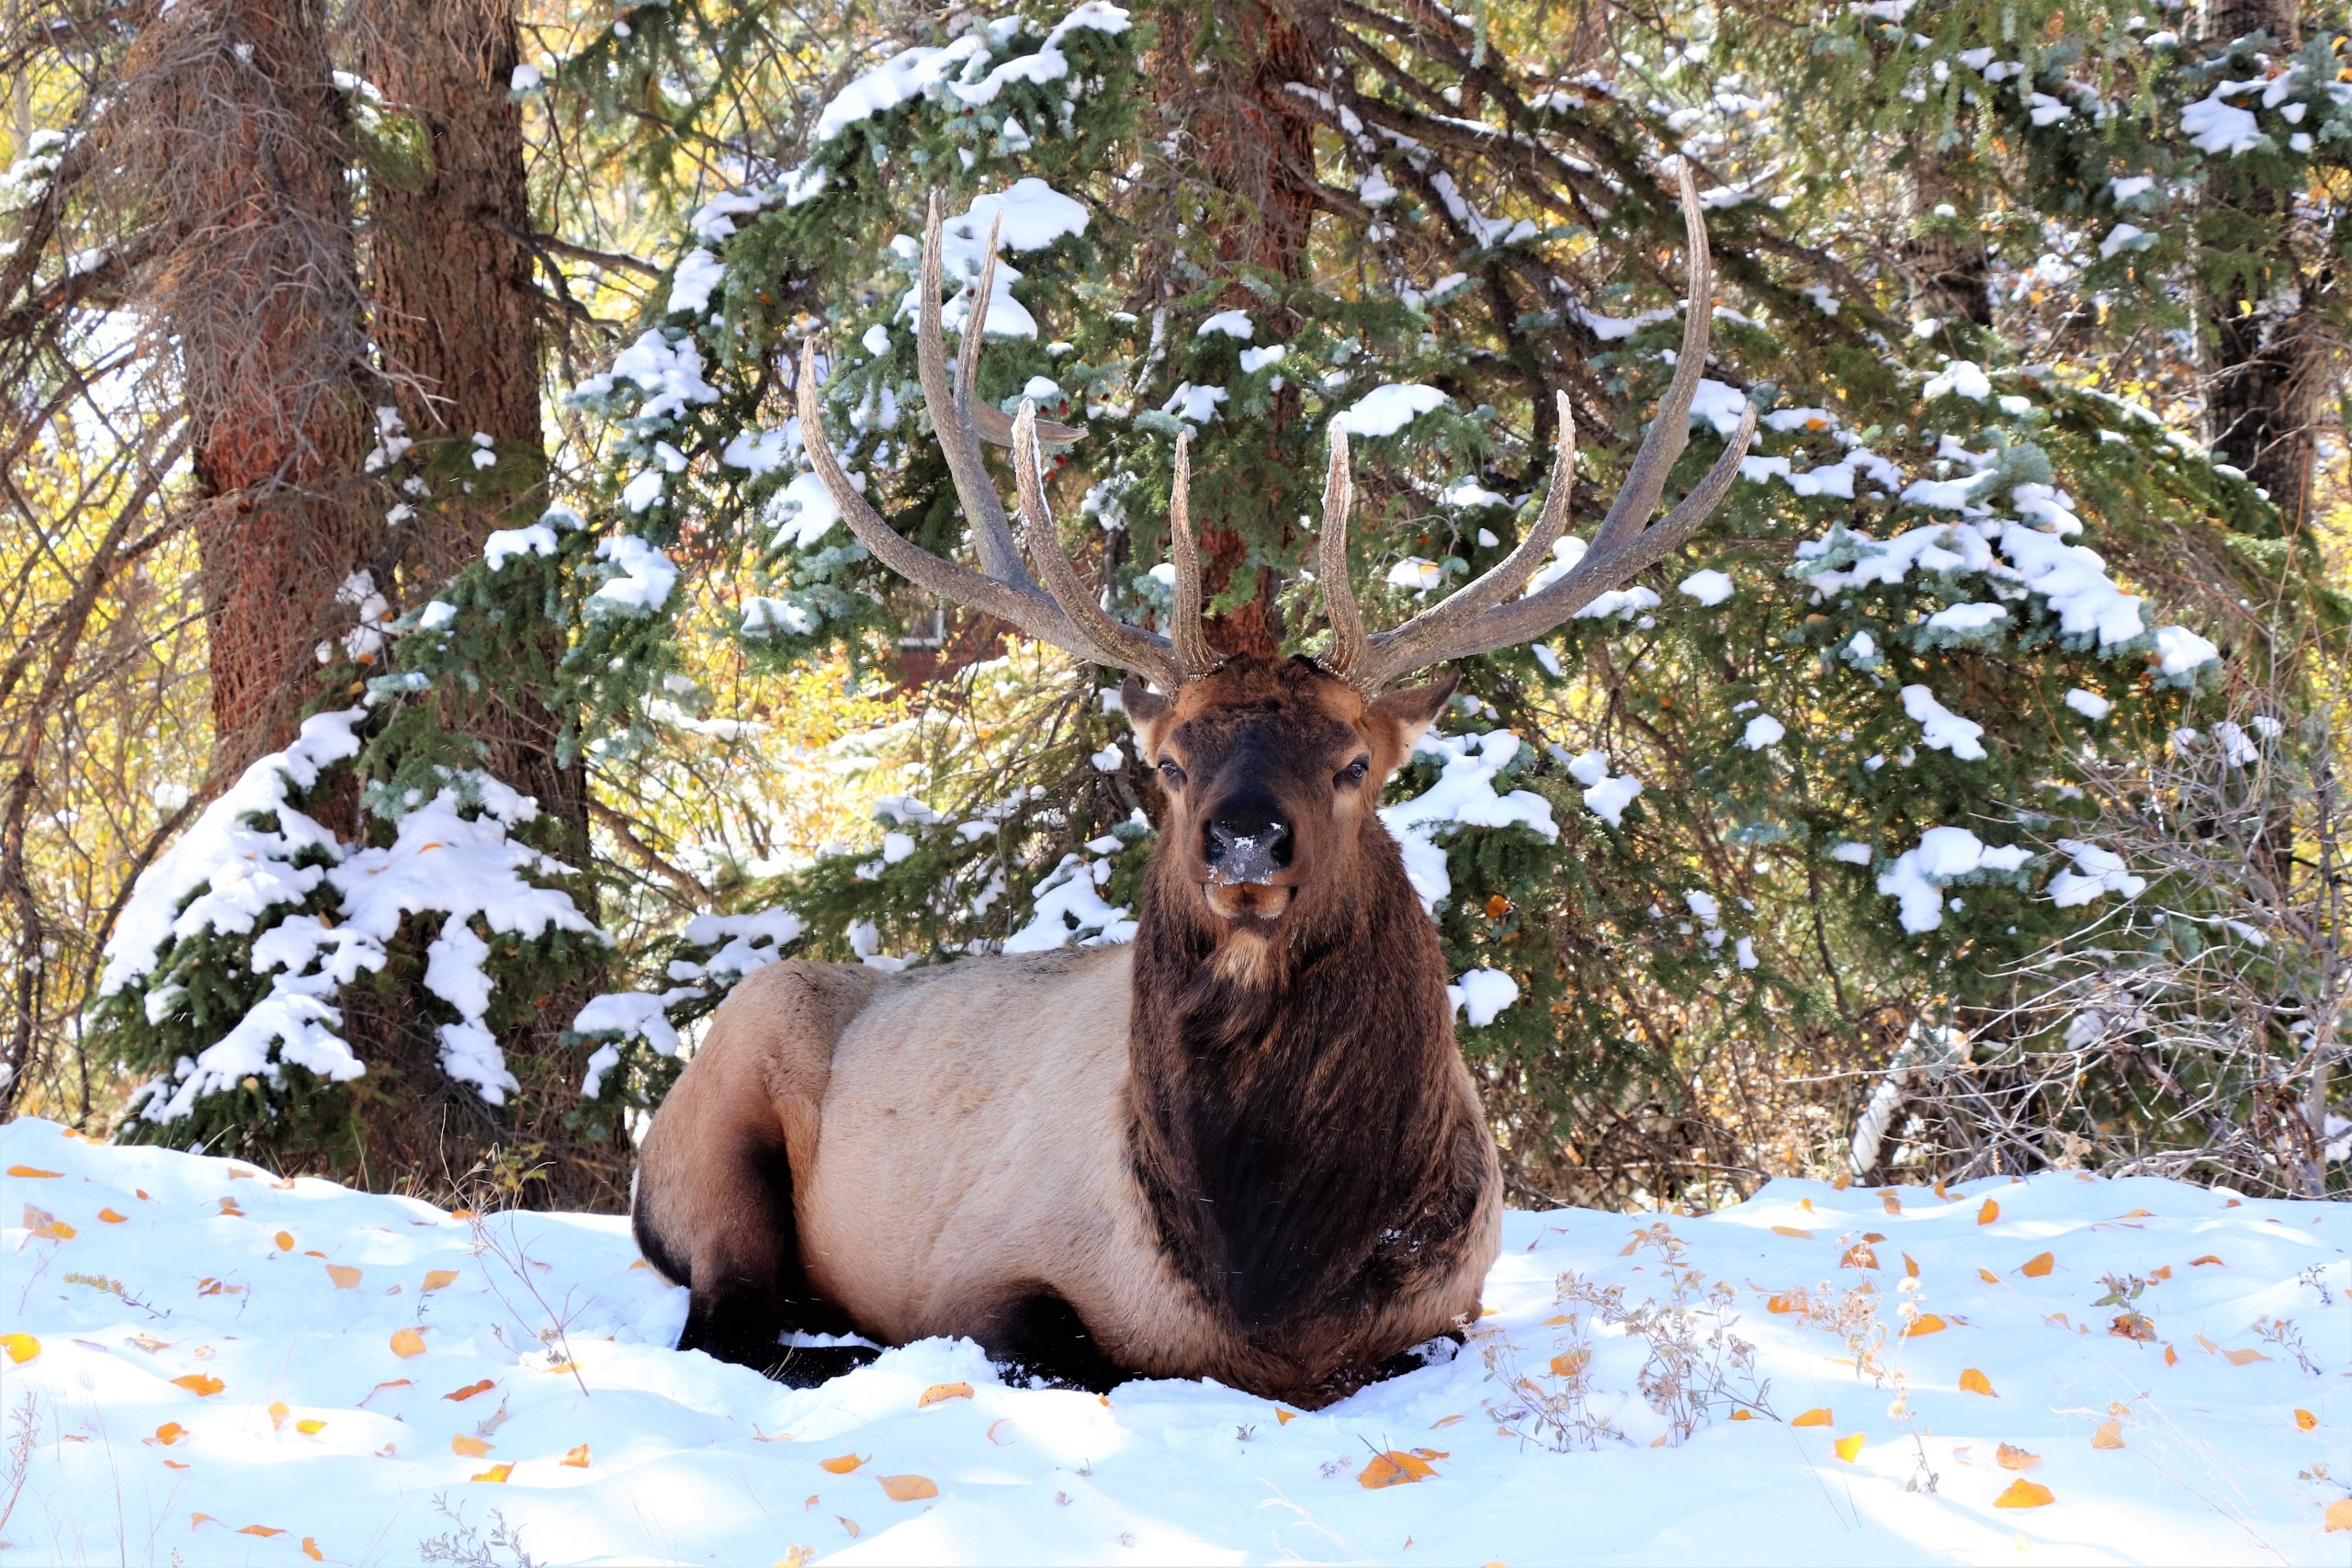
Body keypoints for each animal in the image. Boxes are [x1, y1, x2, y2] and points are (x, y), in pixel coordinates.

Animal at [635, 171, 1758, 1410]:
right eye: (1169, 763)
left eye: (1354, 763)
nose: (1246, 839)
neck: (1266, 1285)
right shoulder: (986, 1269)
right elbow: (1061, 1350)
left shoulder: (1451, 1305)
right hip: (720, 1119)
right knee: (725, 1318)